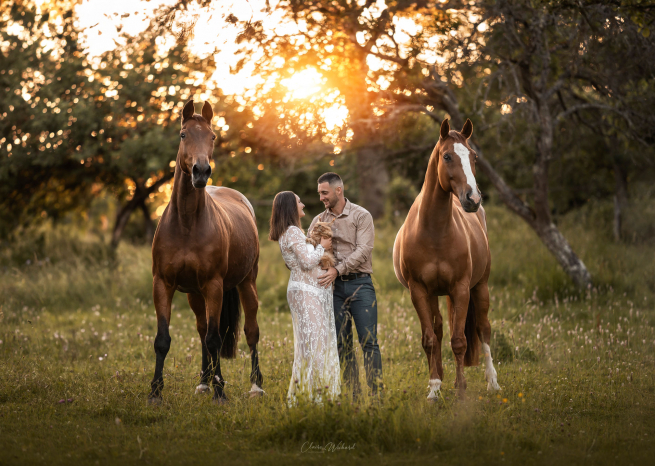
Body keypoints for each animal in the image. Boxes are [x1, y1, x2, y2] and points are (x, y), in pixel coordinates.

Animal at [149, 100, 263, 404]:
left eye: (212, 136)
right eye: (183, 135)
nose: (200, 171)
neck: (187, 224)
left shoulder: (214, 286)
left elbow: (215, 339)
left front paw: (221, 392)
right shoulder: (163, 284)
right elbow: (163, 340)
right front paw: (155, 391)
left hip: (247, 284)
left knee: (250, 332)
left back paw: (256, 386)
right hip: (195, 295)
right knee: (201, 331)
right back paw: (203, 382)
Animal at [392, 117, 501, 400]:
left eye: (473, 156)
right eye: (447, 156)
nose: (473, 198)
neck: (434, 231)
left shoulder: (461, 289)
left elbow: (460, 340)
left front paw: (461, 390)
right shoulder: (419, 291)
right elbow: (430, 339)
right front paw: (433, 389)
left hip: (480, 287)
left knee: (483, 329)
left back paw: (493, 382)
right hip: (435, 295)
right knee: (440, 330)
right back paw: (440, 379)